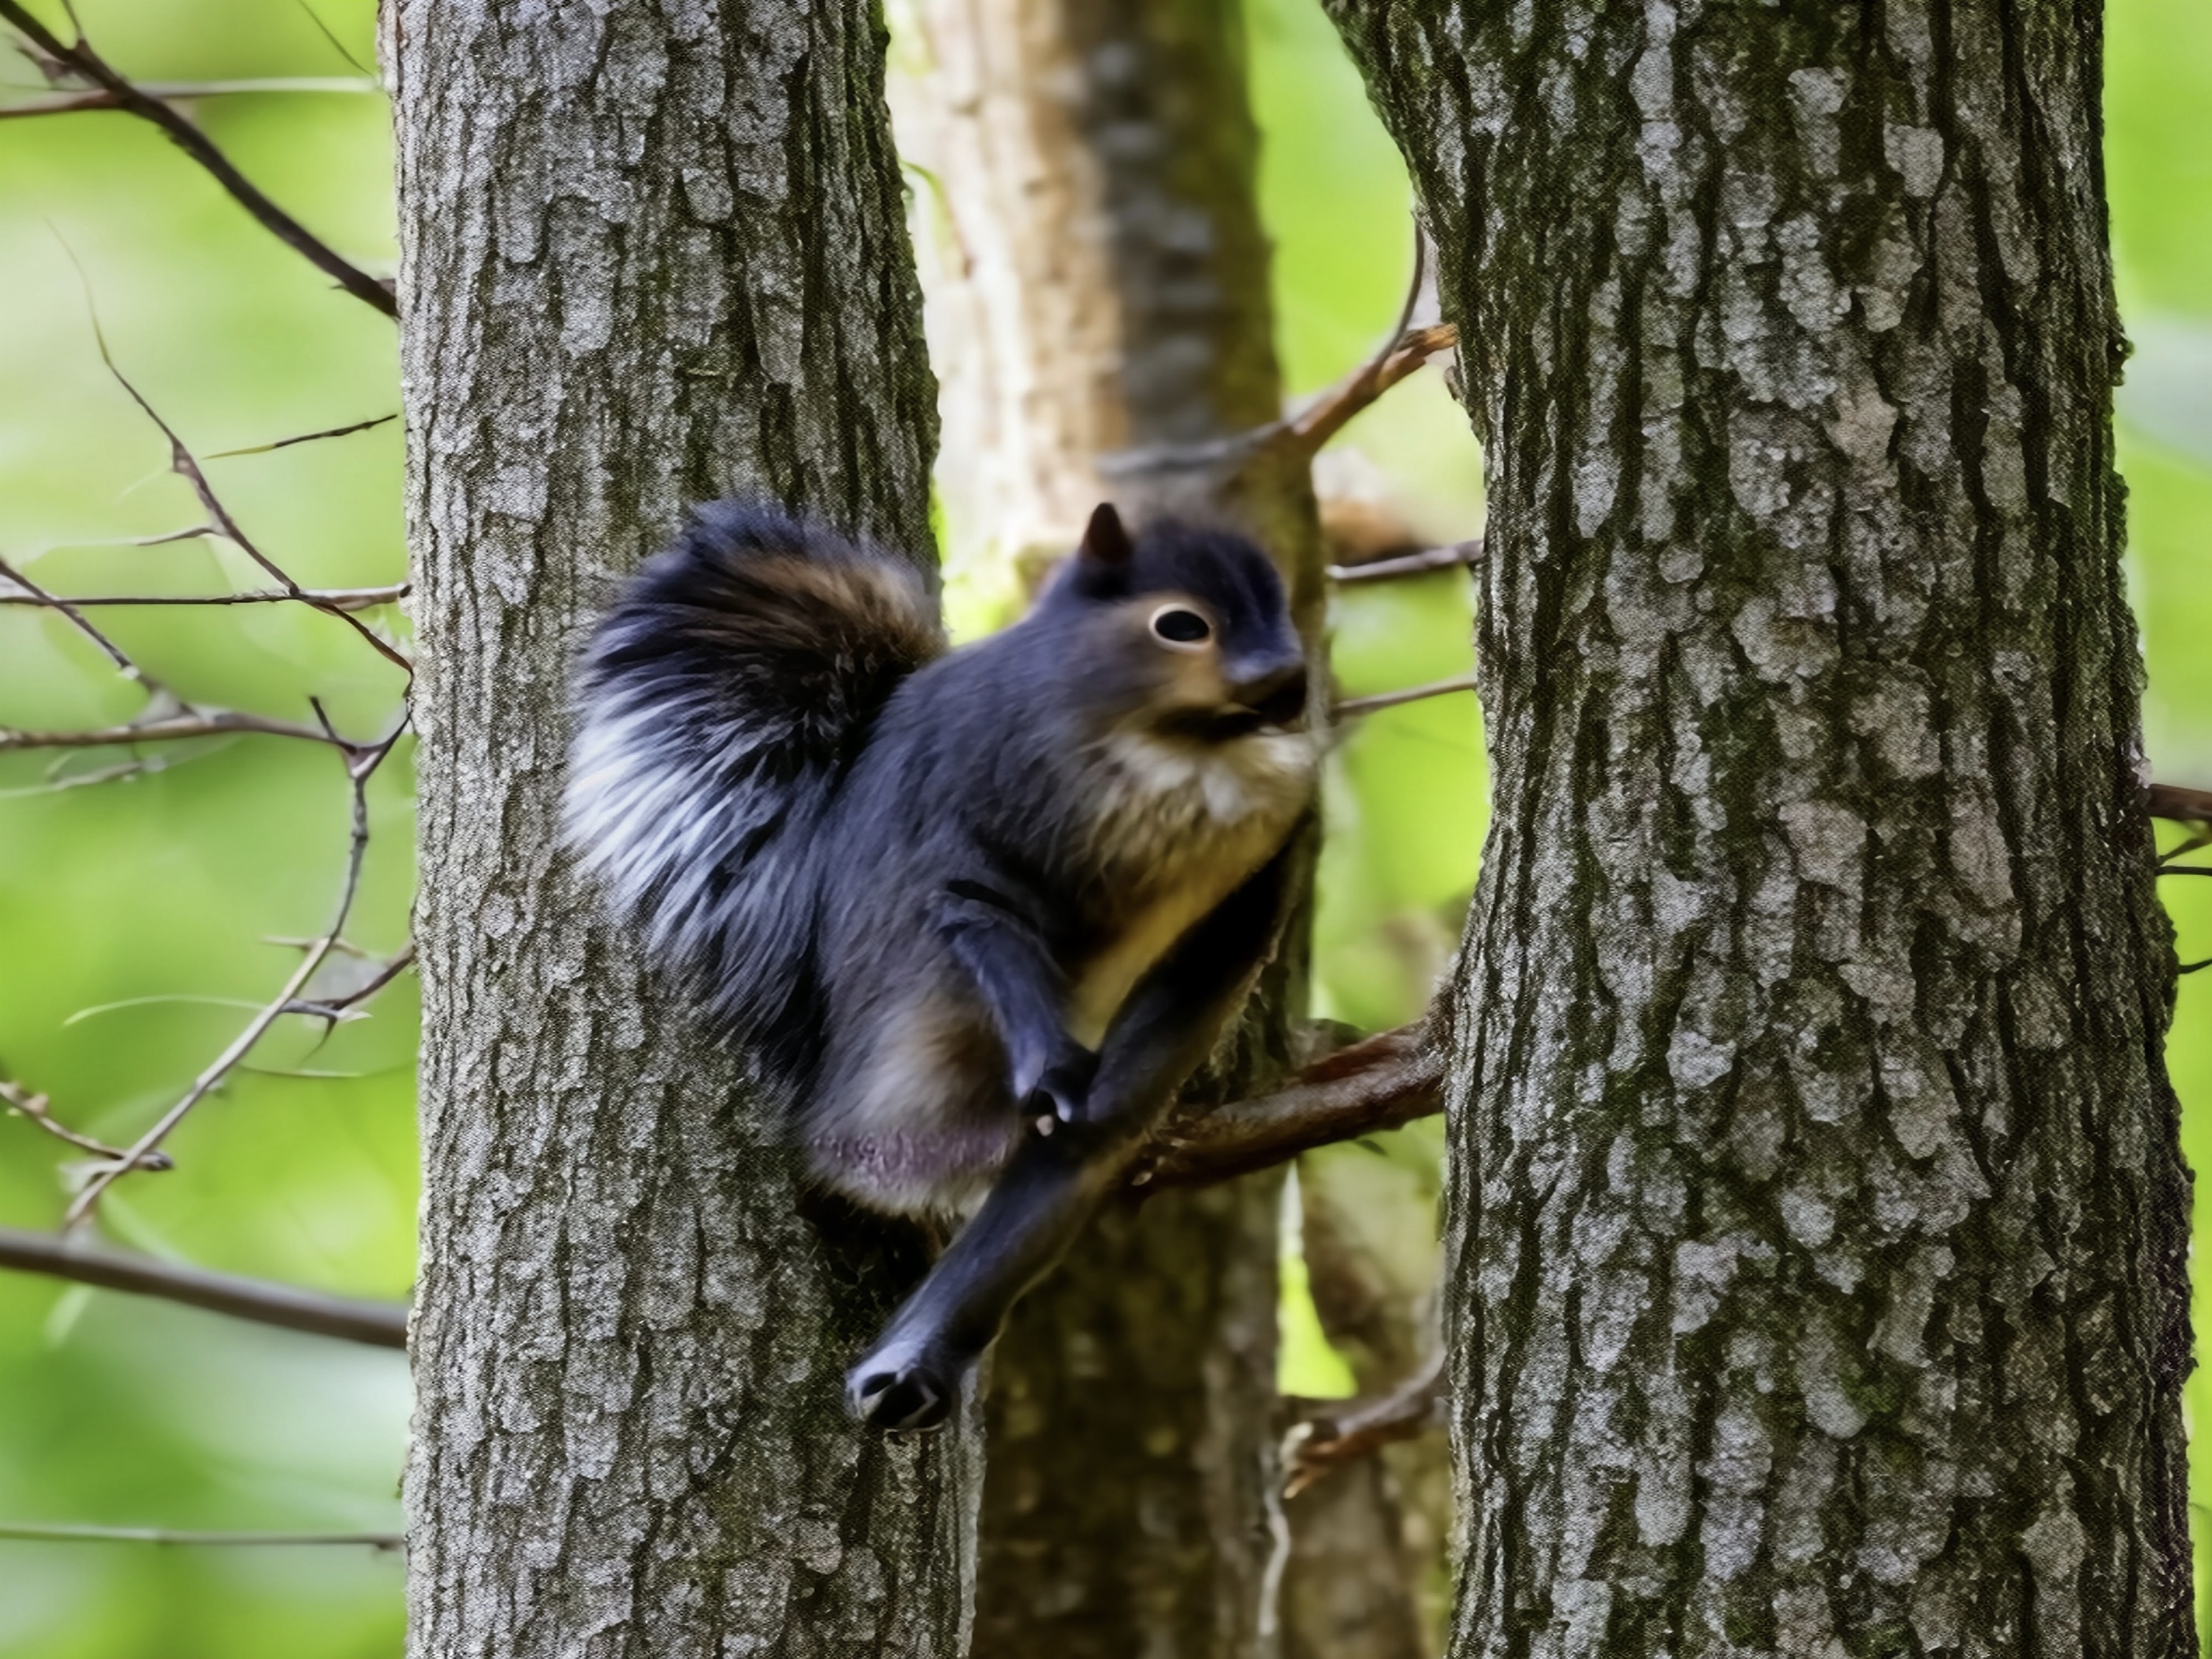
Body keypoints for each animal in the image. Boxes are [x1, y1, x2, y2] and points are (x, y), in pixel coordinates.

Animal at [562, 500, 1310, 1433]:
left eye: (1282, 609)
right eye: (1181, 624)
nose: (1290, 681)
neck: (1187, 753)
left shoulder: (1253, 874)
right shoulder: (979, 810)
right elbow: (977, 906)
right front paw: (1051, 1064)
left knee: (1056, 1179)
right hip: (918, 1051)